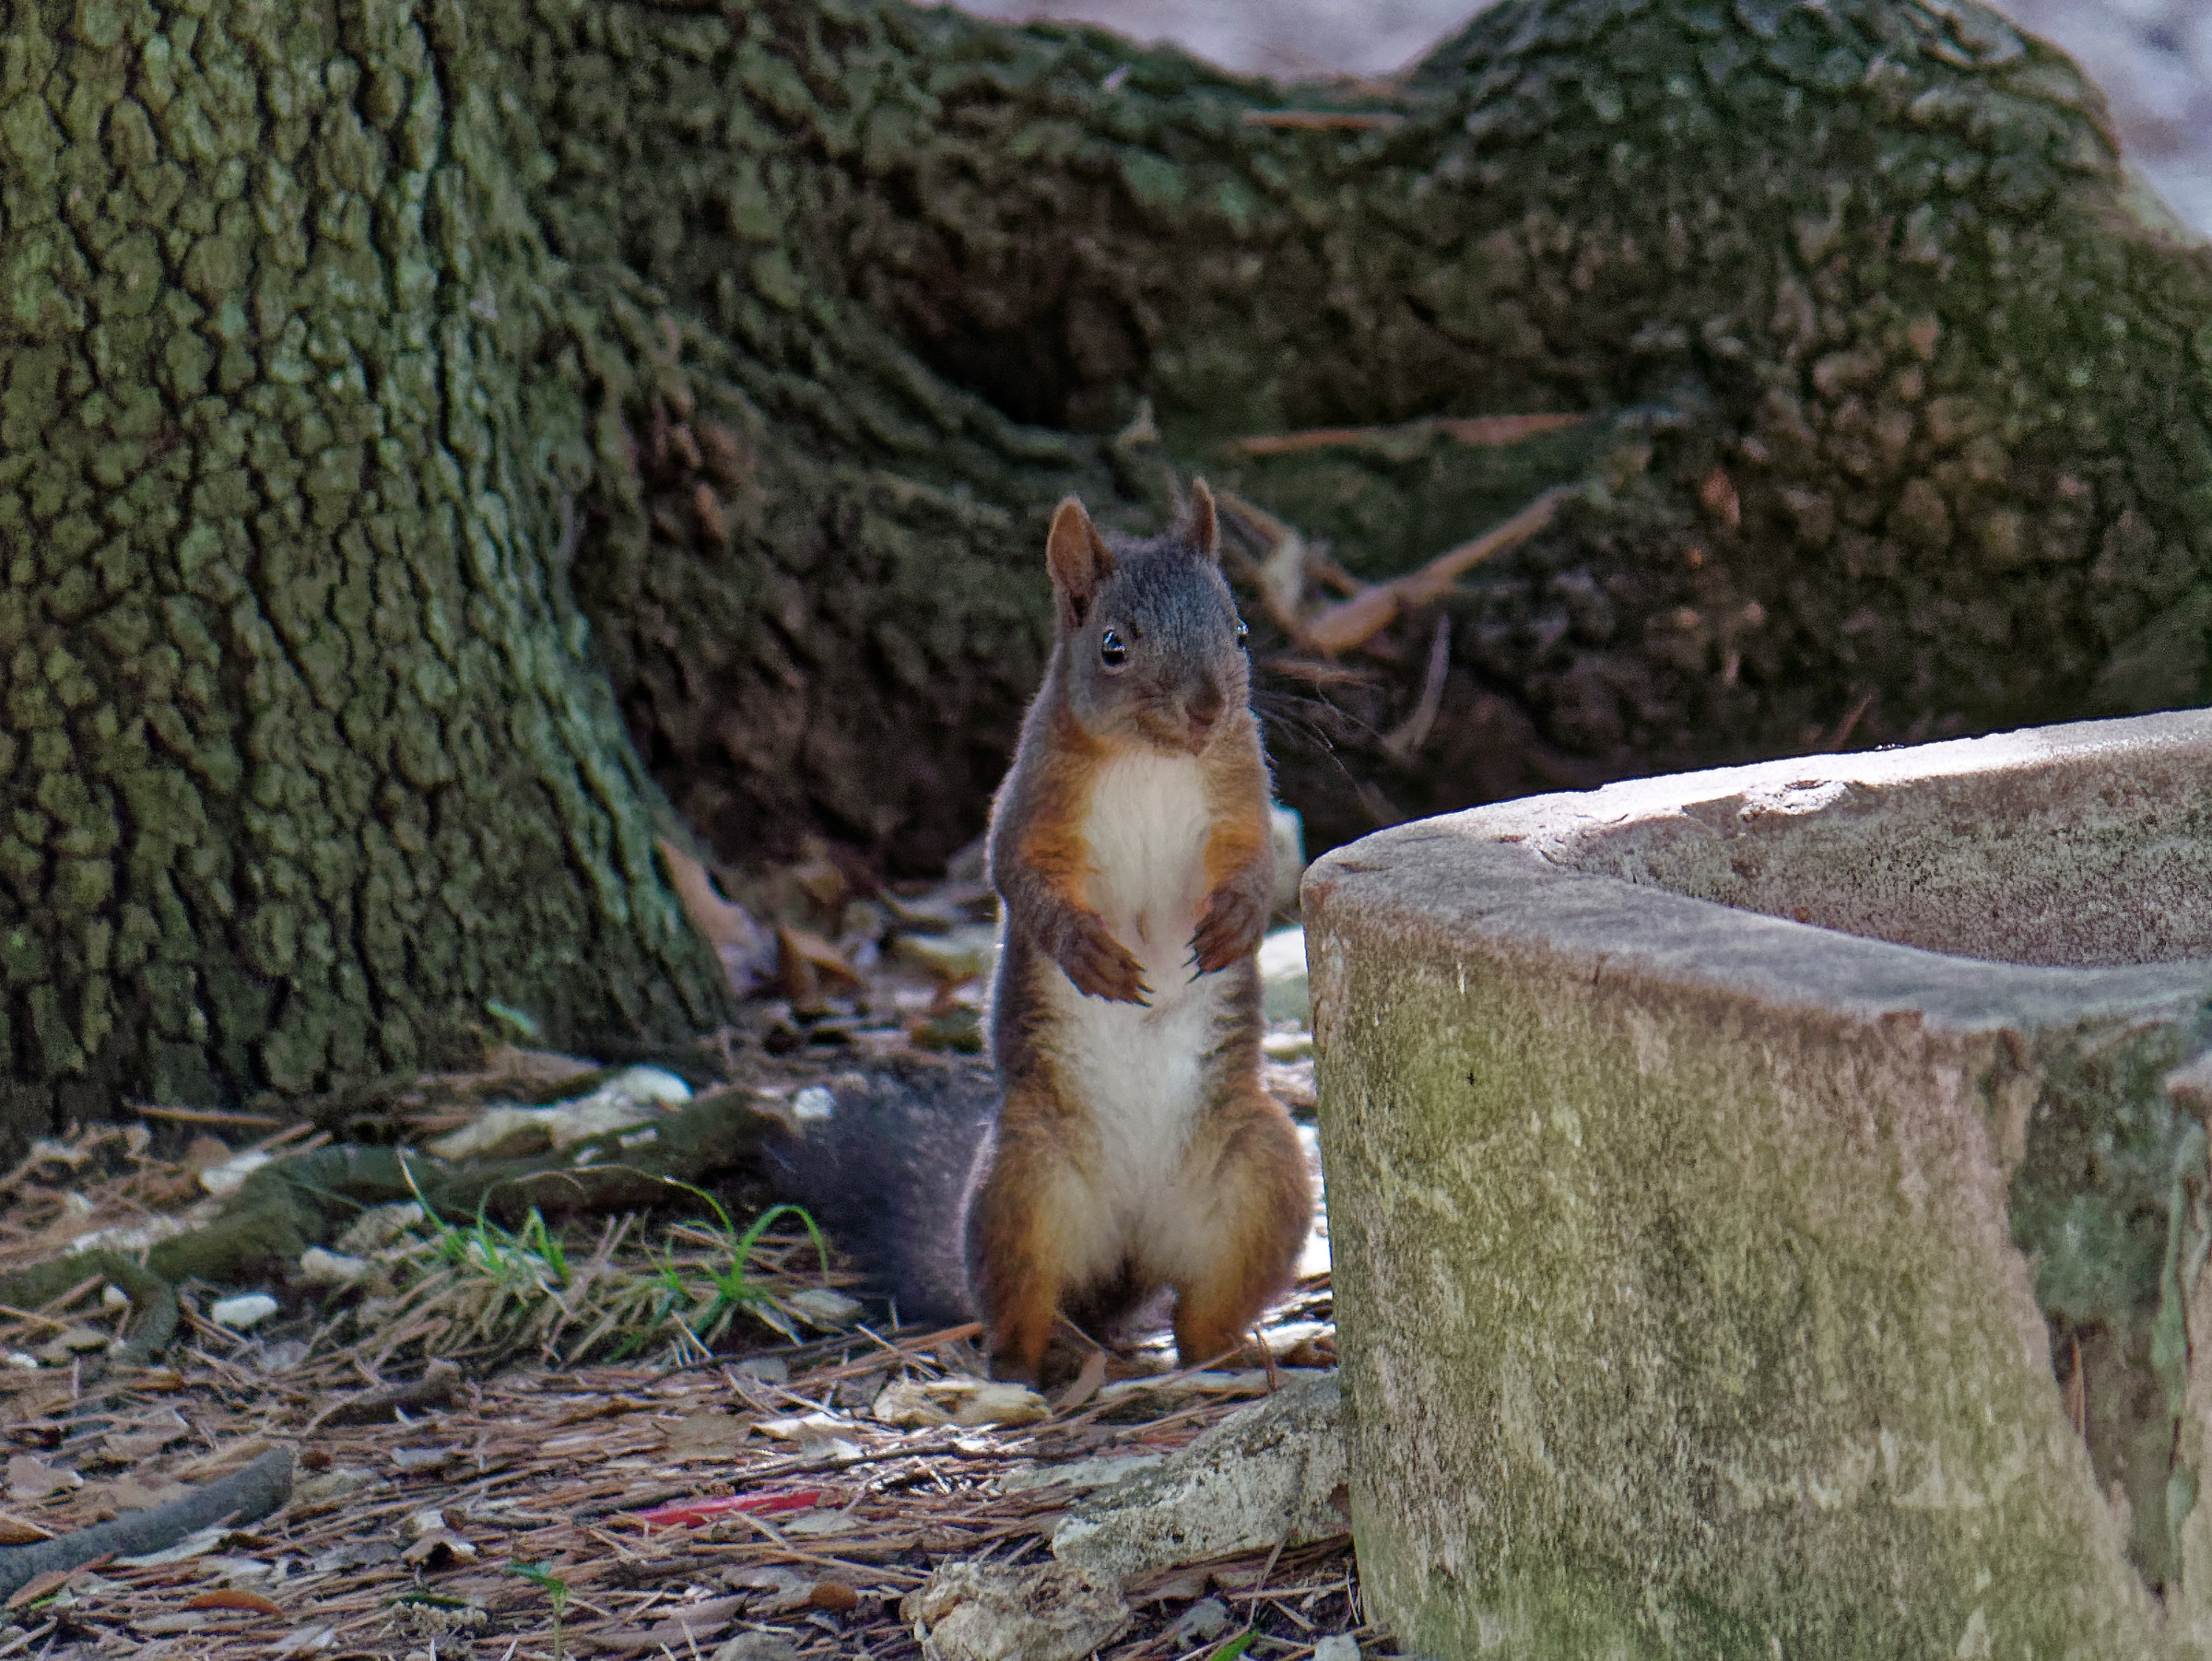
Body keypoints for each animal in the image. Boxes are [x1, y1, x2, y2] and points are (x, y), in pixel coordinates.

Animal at [960, 482, 1313, 1386]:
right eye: (1113, 646)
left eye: (1241, 631)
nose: (1208, 708)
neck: (1153, 758)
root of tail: (1132, 1238)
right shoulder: (1029, 804)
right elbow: (1017, 876)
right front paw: (1090, 955)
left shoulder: (1241, 789)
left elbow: (1261, 864)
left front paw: (1236, 925)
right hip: (1022, 1183)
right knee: (1021, 1296)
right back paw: (1024, 1366)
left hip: (1262, 1177)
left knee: (1203, 1314)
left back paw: (1231, 1354)